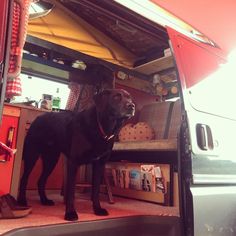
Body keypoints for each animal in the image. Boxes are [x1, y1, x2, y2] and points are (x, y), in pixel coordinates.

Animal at [17, 88, 135, 221]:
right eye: (116, 97)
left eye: (130, 98)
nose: (132, 106)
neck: (102, 127)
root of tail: (38, 118)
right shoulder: (73, 163)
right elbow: (71, 193)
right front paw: (70, 213)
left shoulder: (99, 164)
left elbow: (95, 191)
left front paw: (97, 209)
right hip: (32, 155)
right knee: (24, 178)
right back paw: (22, 201)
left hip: (51, 159)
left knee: (41, 180)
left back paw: (44, 200)